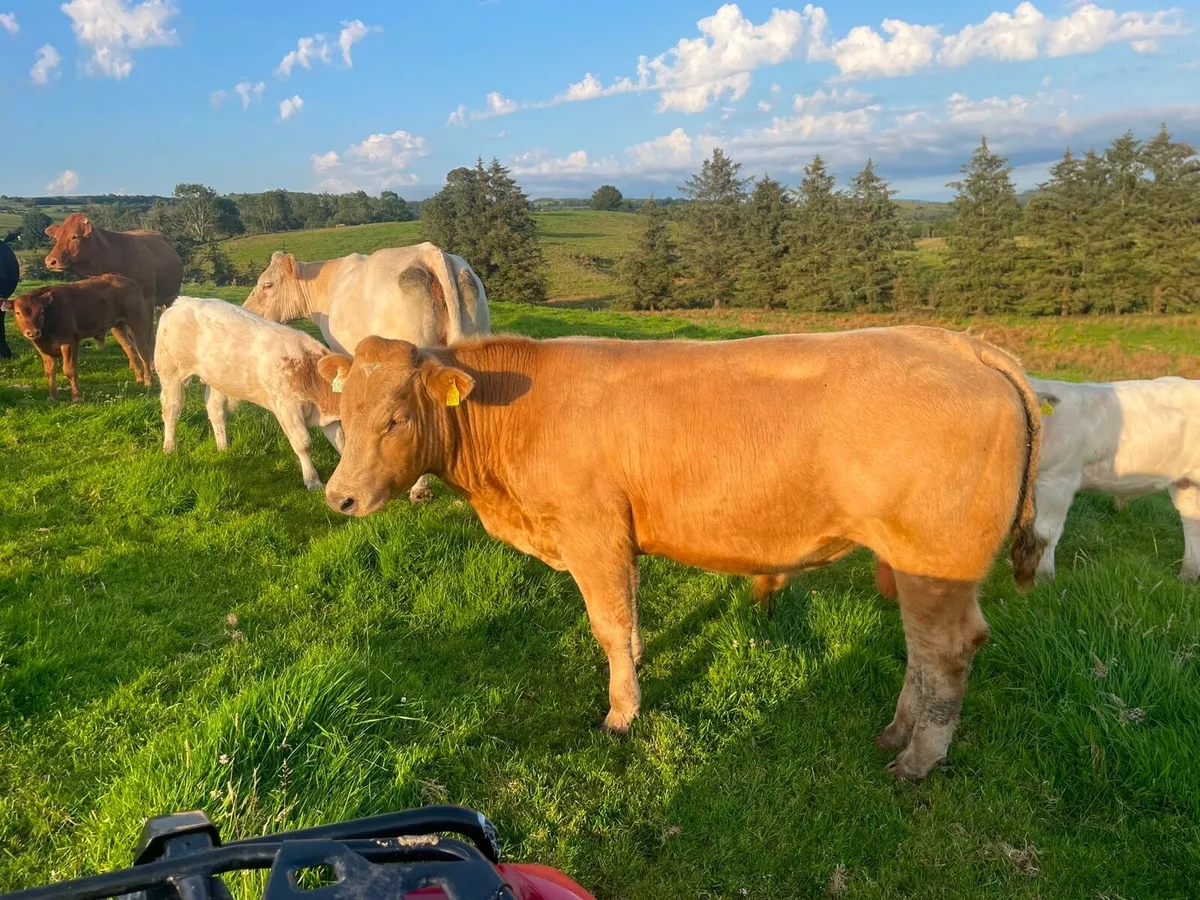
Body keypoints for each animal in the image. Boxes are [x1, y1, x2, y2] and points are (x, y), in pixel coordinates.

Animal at [2, 274, 152, 402]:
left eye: (41, 311)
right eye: (18, 312)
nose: (33, 332)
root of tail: (127, 281)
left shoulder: (69, 342)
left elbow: (69, 370)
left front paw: (77, 397)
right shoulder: (44, 349)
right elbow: (49, 372)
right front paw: (52, 398)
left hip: (138, 322)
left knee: (144, 351)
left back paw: (148, 381)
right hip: (118, 326)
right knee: (130, 348)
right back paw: (139, 378)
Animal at [155, 297, 343, 491]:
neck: (308, 370)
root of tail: (182, 301)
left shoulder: (327, 416)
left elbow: (340, 442)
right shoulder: (287, 408)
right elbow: (303, 443)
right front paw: (313, 481)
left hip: (217, 379)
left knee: (215, 410)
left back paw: (223, 448)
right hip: (171, 374)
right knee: (171, 411)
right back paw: (169, 449)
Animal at [315, 326, 1044, 781]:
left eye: (396, 418)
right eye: (344, 415)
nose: (339, 497)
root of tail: (962, 345)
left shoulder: (591, 531)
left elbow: (608, 623)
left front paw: (621, 712)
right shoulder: (618, 539)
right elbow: (631, 615)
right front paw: (637, 669)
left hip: (938, 562)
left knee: (944, 654)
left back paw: (918, 759)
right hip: (911, 562)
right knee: (920, 653)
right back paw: (897, 731)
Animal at [1030, 375, 1200, 583]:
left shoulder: (1058, 479)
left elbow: (1045, 532)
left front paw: (1042, 578)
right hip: (1185, 481)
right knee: (1192, 519)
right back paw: (1188, 574)